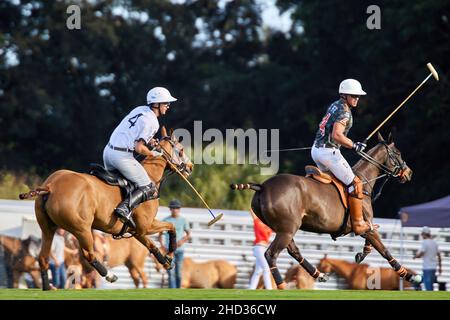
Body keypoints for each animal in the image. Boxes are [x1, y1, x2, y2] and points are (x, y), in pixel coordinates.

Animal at [19, 127, 192, 290]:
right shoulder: (145, 226)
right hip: (81, 228)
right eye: (181, 150)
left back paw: (47, 288)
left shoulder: (136, 231)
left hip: (48, 228)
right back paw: (110, 276)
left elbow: (153, 245)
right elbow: (171, 226)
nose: (190, 167)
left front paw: (167, 261)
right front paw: (170, 253)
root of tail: (51, 186)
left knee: (43, 257)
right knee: (89, 254)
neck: (150, 176)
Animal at [232, 134, 422, 288]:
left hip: (284, 228)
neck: (363, 180)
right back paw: (282, 286)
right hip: (287, 228)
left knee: (294, 251)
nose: (409, 173)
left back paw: (319, 274)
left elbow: (371, 243)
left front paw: (360, 254)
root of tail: (262, 186)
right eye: (397, 153)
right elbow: (383, 250)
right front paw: (410, 276)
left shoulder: (366, 226)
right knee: (271, 254)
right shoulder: (363, 227)